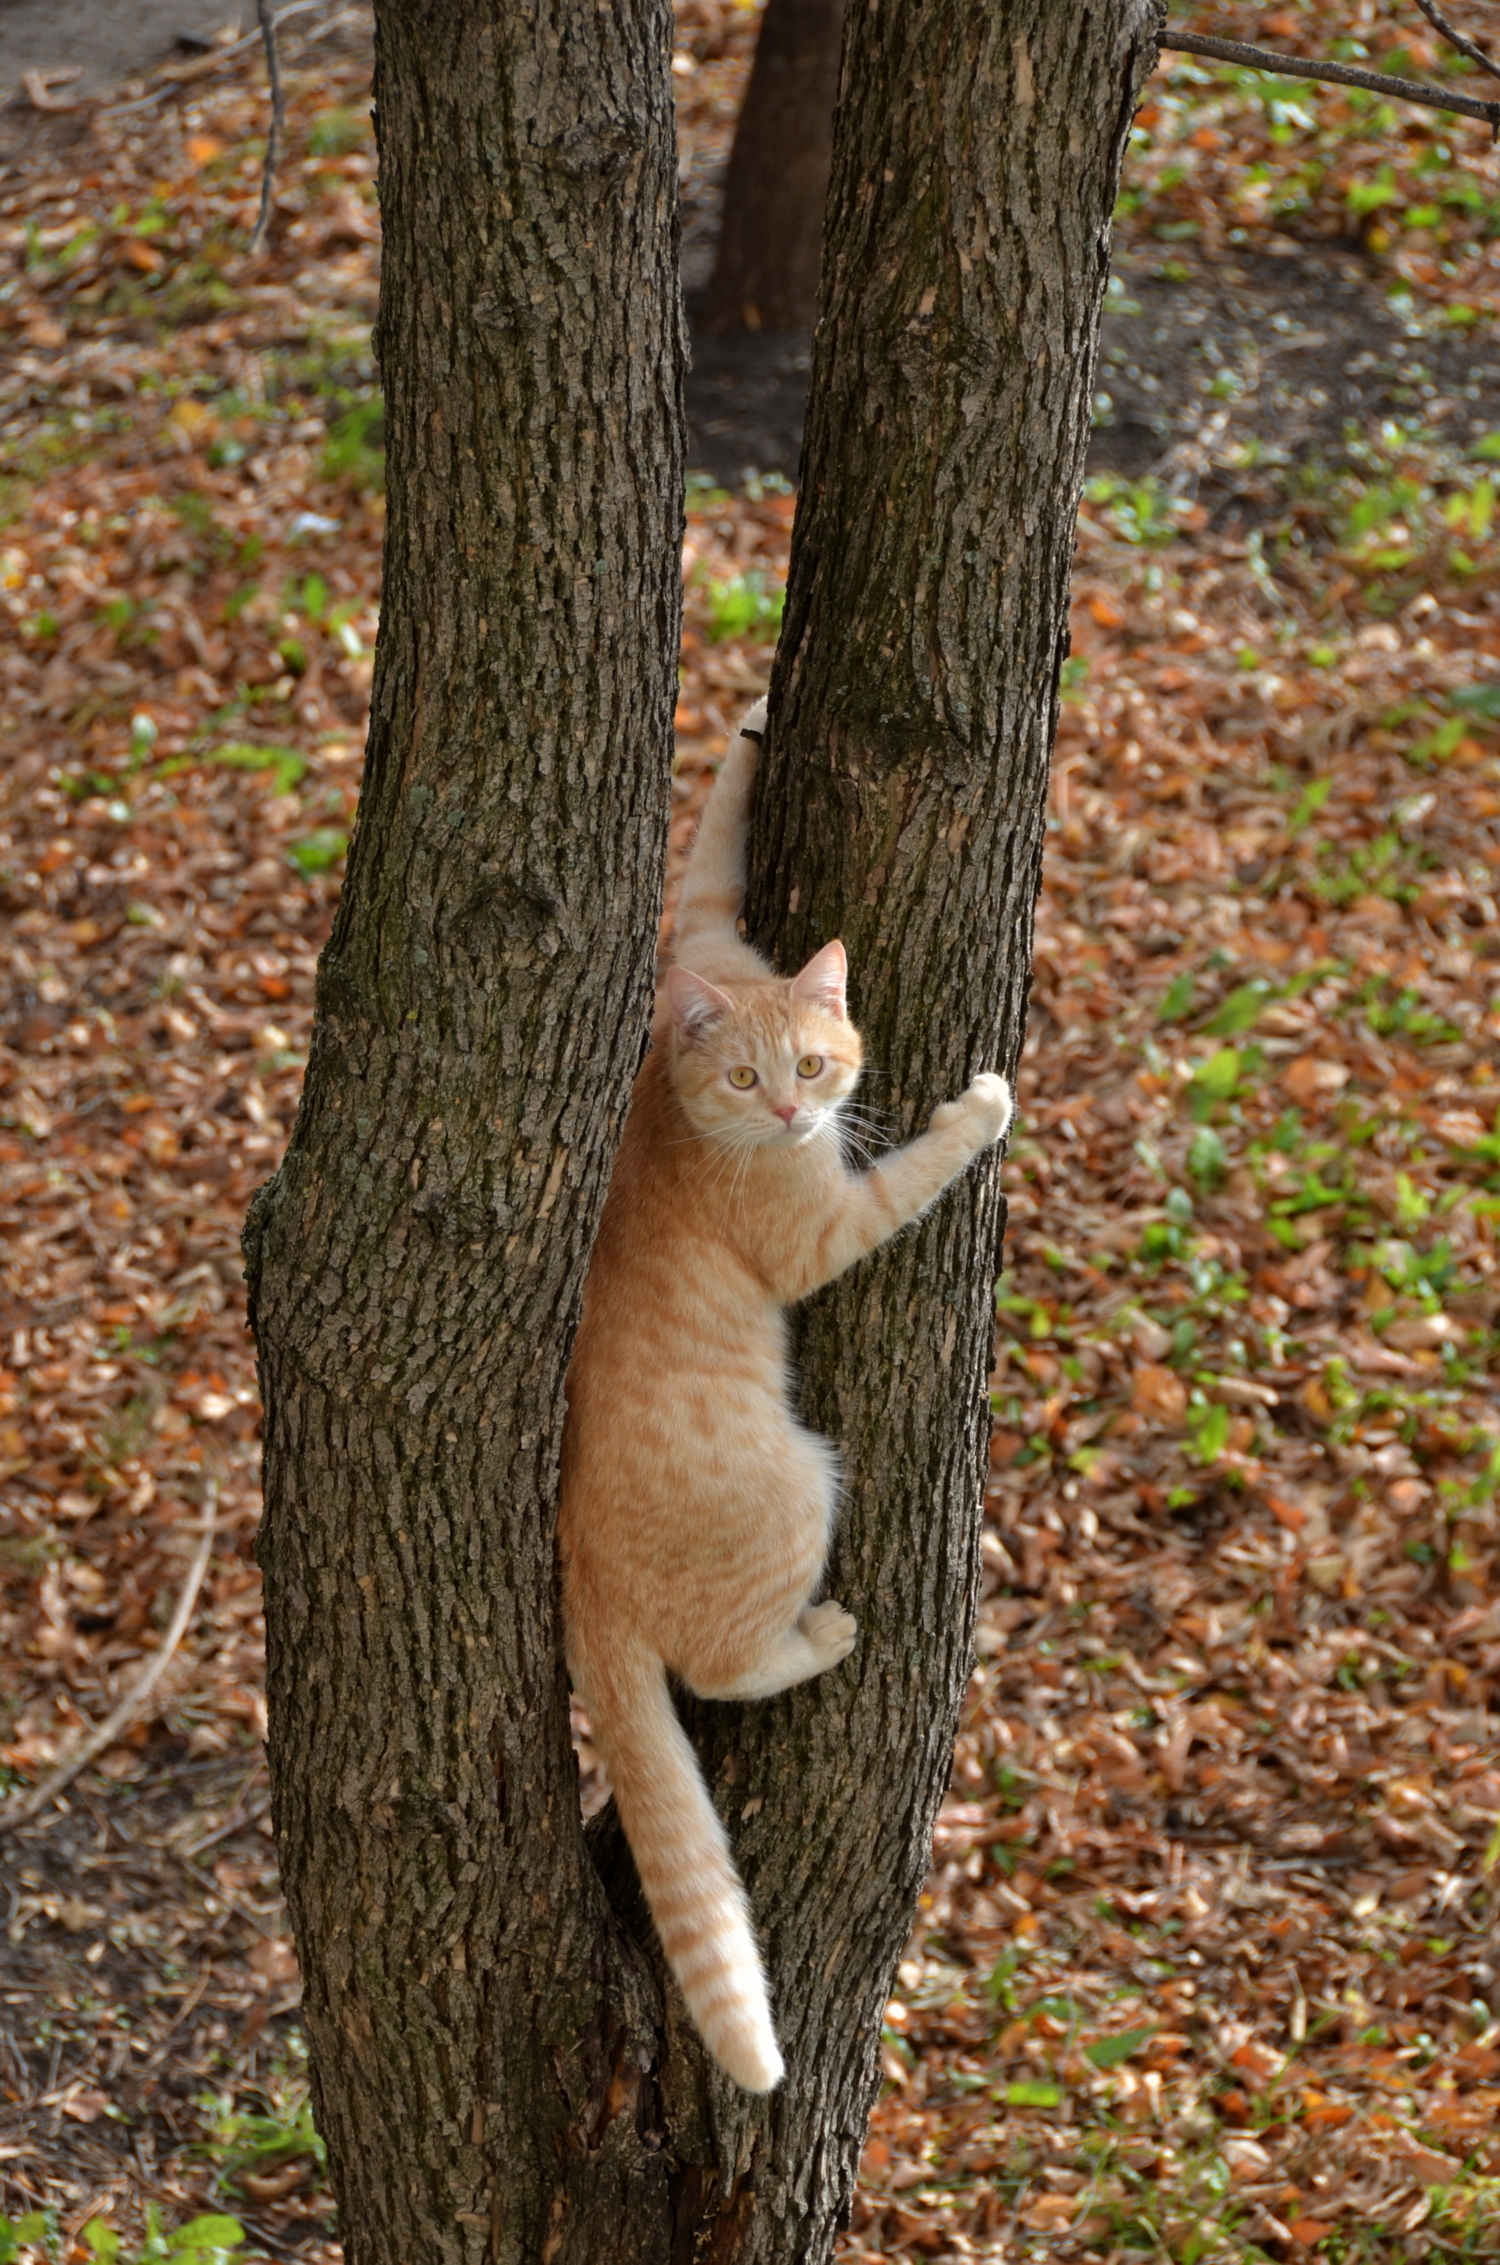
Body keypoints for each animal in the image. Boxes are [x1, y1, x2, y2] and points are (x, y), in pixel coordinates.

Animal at [557, 697, 1015, 2092]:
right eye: (751, 1082)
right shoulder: (827, 1229)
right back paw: (818, 1640)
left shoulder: (704, 936)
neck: (672, 1090)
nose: (794, 1115)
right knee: (721, 1674)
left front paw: (748, 734)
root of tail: (575, 1562)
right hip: (801, 1485)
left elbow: (703, 867)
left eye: (813, 1061)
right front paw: (979, 1110)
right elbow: (914, 1170)